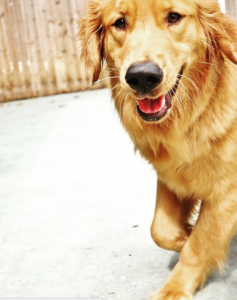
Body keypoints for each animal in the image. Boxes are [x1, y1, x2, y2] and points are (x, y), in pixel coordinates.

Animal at [78, 1, 237, 298]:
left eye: (174, 17)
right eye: (119, 23)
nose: (142, 77)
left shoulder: (227, 191)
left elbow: (200, 244)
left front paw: (174, 288)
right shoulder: (171, 176)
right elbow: (160, 229)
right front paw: (184, 235)